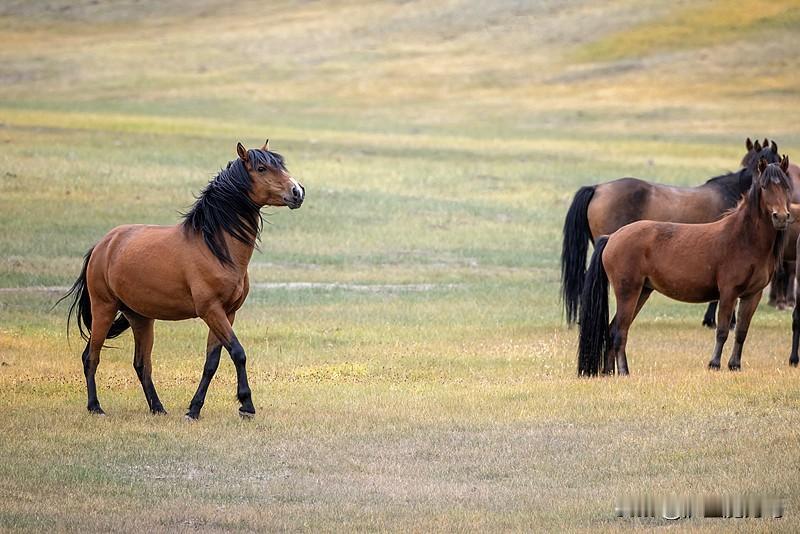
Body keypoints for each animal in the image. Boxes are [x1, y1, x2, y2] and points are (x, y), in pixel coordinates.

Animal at [57, 140, 305, 419]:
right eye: (262, 168)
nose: (297, 191)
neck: (214, 247)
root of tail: (103, 245)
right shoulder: (211, 311)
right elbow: (238, 352)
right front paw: (246, 405)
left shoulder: (227, 313)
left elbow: (212, 362)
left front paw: (194, 409)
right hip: (104, 309)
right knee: (91, 356)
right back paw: (95, 407)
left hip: (140, 317)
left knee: (141, 364)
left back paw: (157, 408)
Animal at [578, 156, 792, 376]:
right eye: (764, 186)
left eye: (786, 186)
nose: (781, 217)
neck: (744, 238)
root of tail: (612, 237)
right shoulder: (728, 293)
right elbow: (722, 330)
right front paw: (714, 364)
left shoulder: (752, 295)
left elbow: (741, 332)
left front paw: (734, 365)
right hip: (628, 292)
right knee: (619, 331)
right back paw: (624, 371)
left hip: (642, 292)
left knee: (613, 329)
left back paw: (608, 372)